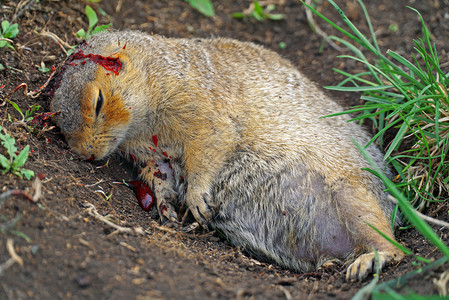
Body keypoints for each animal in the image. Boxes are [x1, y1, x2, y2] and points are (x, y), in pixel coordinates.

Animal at [50, 29, 404, 280]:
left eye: (97, 101)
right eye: (61, 128)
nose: (84, 154)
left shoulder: (200, 108)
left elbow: (210, 146)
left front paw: (195, 198)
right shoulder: (151, 153)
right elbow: (160, 174)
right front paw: (165, 205)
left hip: (354, 195)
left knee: (395, 247)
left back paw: (372, 259)